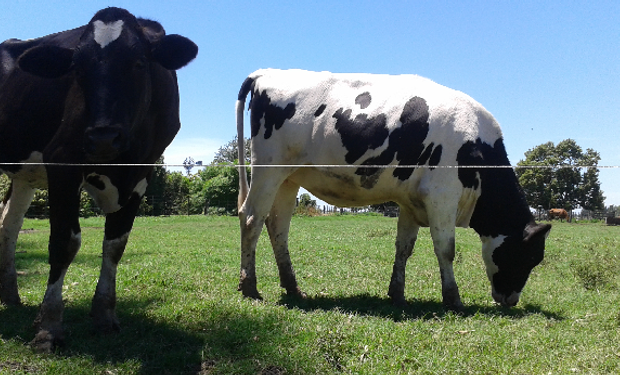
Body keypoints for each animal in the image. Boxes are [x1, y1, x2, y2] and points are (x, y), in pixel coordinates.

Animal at [0, 7, 196, 352]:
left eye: (138, 63)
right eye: (77, 69)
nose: (104, 136)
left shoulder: (141, 175)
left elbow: (115, 245)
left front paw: (105, 316)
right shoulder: (62, 162)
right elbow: (64, 243)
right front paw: (49, 326)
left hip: (24, 175)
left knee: (9, 223)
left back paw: (10, 296)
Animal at [236, 70, 552, 312]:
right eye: (529, 257)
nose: (511, 300)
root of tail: (266, 72)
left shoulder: (412, 201)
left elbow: (404, 247)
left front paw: (397, 293)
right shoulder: (442, 196)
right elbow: (446, 249)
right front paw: (453, 299)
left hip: (288, 179)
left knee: (277, 227)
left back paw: (292, 288)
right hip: (268, 170)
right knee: (251, 219)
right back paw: (249, 287)